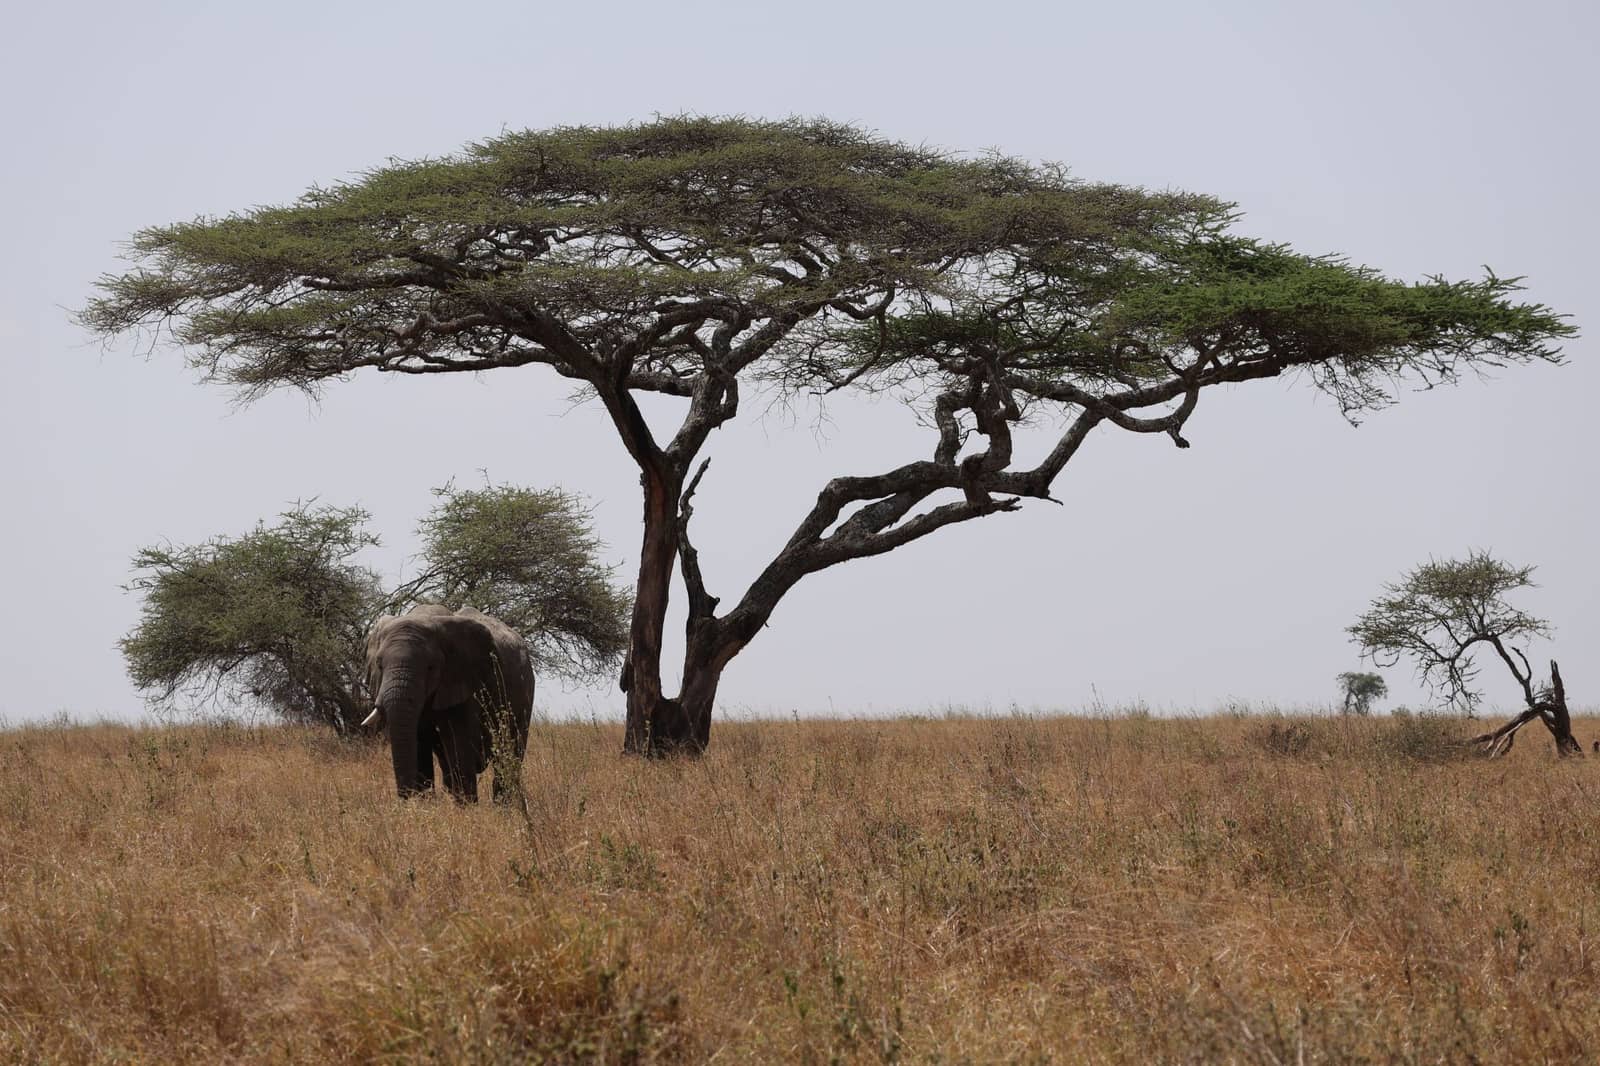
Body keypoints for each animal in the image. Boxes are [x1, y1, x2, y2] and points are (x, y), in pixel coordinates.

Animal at [362, 604, 535, 802]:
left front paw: (467, 808)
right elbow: (419, 744)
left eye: (430, 667)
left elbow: (457, 742)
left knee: (509, 754)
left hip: (525, 695)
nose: (407, 800)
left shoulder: (461, 678)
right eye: (379, 665)